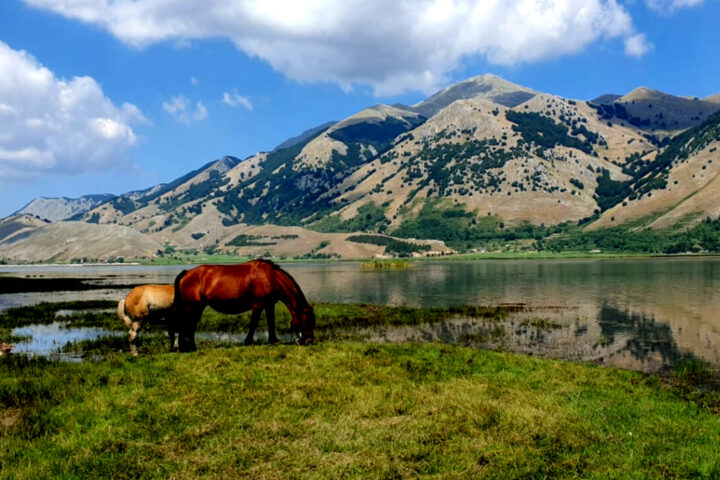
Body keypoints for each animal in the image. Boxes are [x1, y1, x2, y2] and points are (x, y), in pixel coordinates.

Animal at [173, 260, 316, 350]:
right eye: (308, 320)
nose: (309, 341)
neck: (271, 277)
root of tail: (186, 273)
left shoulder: (269, 304)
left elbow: (271, 321)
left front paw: (273, 340)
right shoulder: (258, 304)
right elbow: (254, 323)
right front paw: (248, 341)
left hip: (197, 306)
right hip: (192, 306)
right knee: (188, 325)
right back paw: (190, 347)